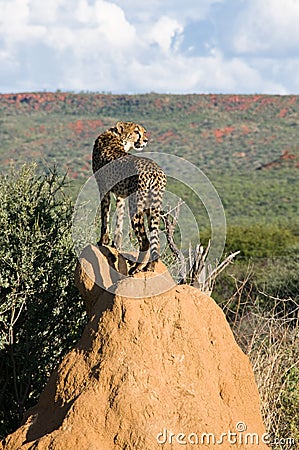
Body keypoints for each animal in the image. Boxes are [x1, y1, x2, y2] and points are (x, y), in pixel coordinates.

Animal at [92, 120, 166, 274]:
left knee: (145, 242)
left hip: (136, 206)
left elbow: (104, 216)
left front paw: (103, 241)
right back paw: (150, 266)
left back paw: (136, 267)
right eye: (137, 131)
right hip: (152, 208)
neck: (116, 136)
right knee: (155, 239)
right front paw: (116, 245)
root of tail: (155, 170)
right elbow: (119, 220)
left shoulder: (104, 188)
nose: (145, 140)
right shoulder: (120, 195)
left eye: (143, 132)